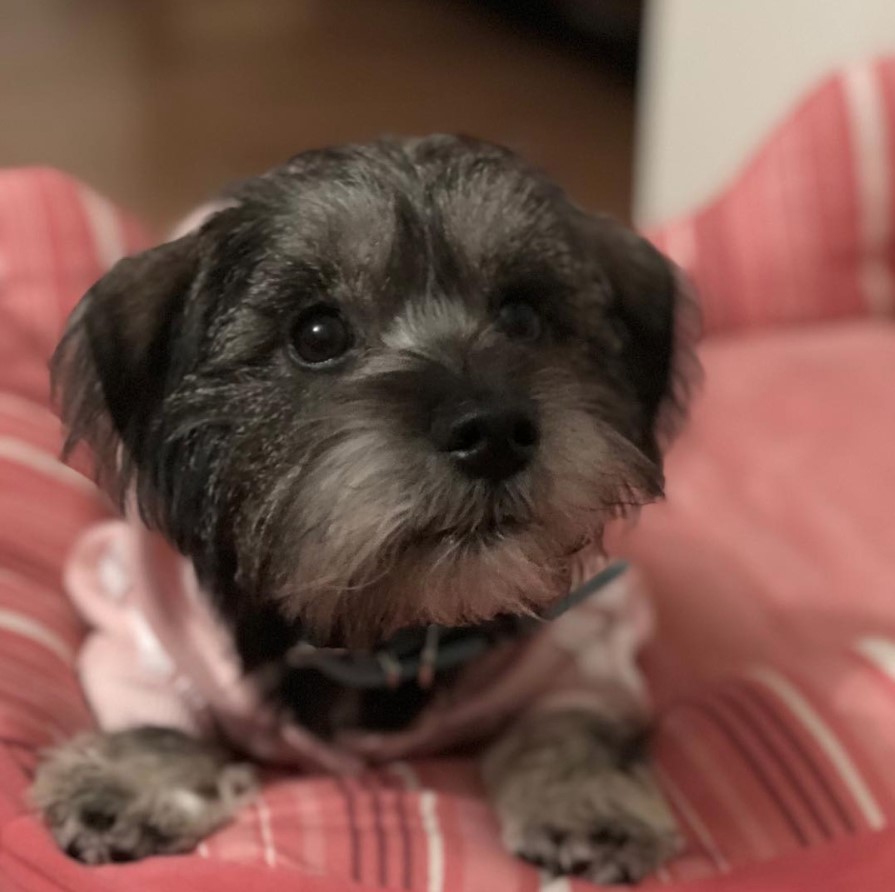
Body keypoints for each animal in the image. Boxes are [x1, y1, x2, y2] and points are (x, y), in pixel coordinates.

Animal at [33, 136, 692, 880]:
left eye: (524, 316)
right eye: (317, 333)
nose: (493, 432)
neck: (380, 628)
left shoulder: (587, 646)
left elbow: (574, 723)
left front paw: (585, 799)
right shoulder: (141, 627)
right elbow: (156, 719)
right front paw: (126, 782)